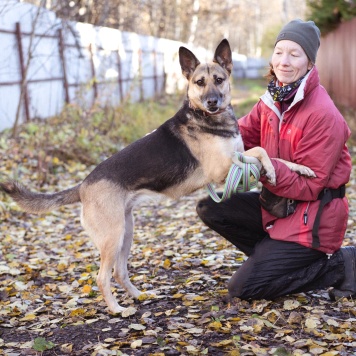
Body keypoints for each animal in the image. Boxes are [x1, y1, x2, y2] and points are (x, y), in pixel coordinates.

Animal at [0, 39, 312, 312]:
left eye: (219, 79)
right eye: (199, 83)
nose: (212, 101)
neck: (208, 119)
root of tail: (83, 186)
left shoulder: (234, 157)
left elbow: (271, 155)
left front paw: (301, 168)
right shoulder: (221, 170)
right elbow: (261, 151)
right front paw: (271, 171)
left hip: (126, 232)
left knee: (119, 272)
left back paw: (139, 296)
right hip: (113, 236)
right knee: (102, 276)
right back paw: (117, 309)